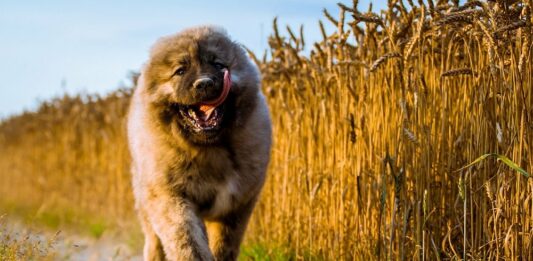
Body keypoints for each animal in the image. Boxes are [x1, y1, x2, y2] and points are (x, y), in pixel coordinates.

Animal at [127, 25, 272, 258]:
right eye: (180, 71)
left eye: (218, 64)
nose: (204, 83)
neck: (209, 149)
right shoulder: (171, 197)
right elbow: (188, 239)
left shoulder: (236, 206)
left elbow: (223, 245)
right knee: (154, 244)